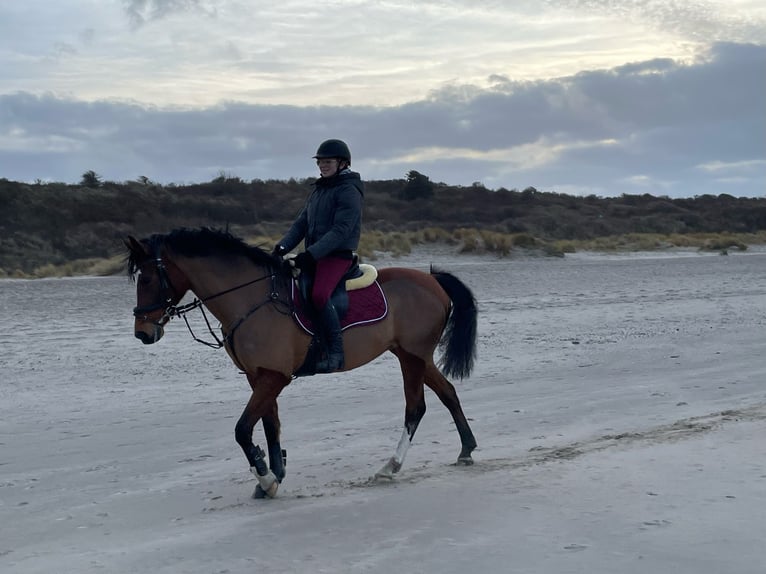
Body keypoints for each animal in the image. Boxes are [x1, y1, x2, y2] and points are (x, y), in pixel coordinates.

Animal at [126, 227, 480, 498]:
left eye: (146, 280)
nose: (142, 332)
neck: (251, 299)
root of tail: (432, 279)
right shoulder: (258, 376)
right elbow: (270, 425)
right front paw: (273, 474)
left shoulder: (274, 377)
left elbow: (243, 429)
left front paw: (266, 477)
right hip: (414, 355)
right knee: (448, 393)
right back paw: (466, 450)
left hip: (412, 357)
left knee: (415, 407)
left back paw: (390, 466)